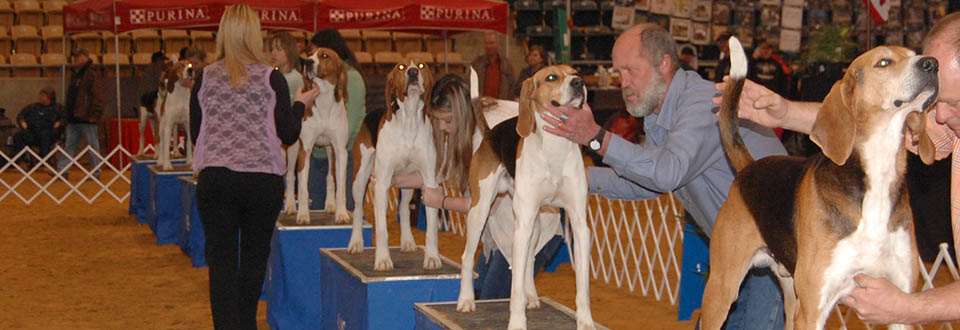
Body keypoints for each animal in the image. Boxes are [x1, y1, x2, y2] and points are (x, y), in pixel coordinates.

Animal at [284, 46, 352, 224]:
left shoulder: (340, 150)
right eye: (309, 55)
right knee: (290, 176)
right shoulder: (305, 149)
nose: (308, 62)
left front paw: (341, 213)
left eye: (324, 55)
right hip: (293, 148)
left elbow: (340, 185)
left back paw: (330, 205)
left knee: (330, 176)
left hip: (330, 149)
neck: (324, 100)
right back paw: (290, 206)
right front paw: (303, 214)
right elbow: (302, 187)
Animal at [346, 58, 440, 270]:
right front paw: (382, 259)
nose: (412, 72)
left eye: (421, 66)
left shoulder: (429, 182)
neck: (410, 120)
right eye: (401, 67)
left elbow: (431, 227)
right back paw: (355, 242)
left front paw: (432, 257)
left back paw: (407, 241)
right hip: (360, 178)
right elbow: (381, 229)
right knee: (357, 209)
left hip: (408, 184)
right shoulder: (381, 184)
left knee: (404, 208)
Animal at [462, 65, 596, 330]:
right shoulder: (521, 225)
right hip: (480, 212)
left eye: (575, 71)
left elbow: (583, 288)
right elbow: (513, 289)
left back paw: (531, 296)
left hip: (534, 222)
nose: (579, 82)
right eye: (552, 77)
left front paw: (586, 321)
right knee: (467, 256)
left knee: (529, 262)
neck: (556, 147)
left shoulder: (579, 224)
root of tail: (491, 133)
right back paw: (466, 300)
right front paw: (516, 322)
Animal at [696, 37, 936, 328]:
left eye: (915, 53)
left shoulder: (899, 303)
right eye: (883, 62)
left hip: (791, 295)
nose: (931, 64)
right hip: (722, 289)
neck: (876, 178)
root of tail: (750, 167)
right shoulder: (814, 309)